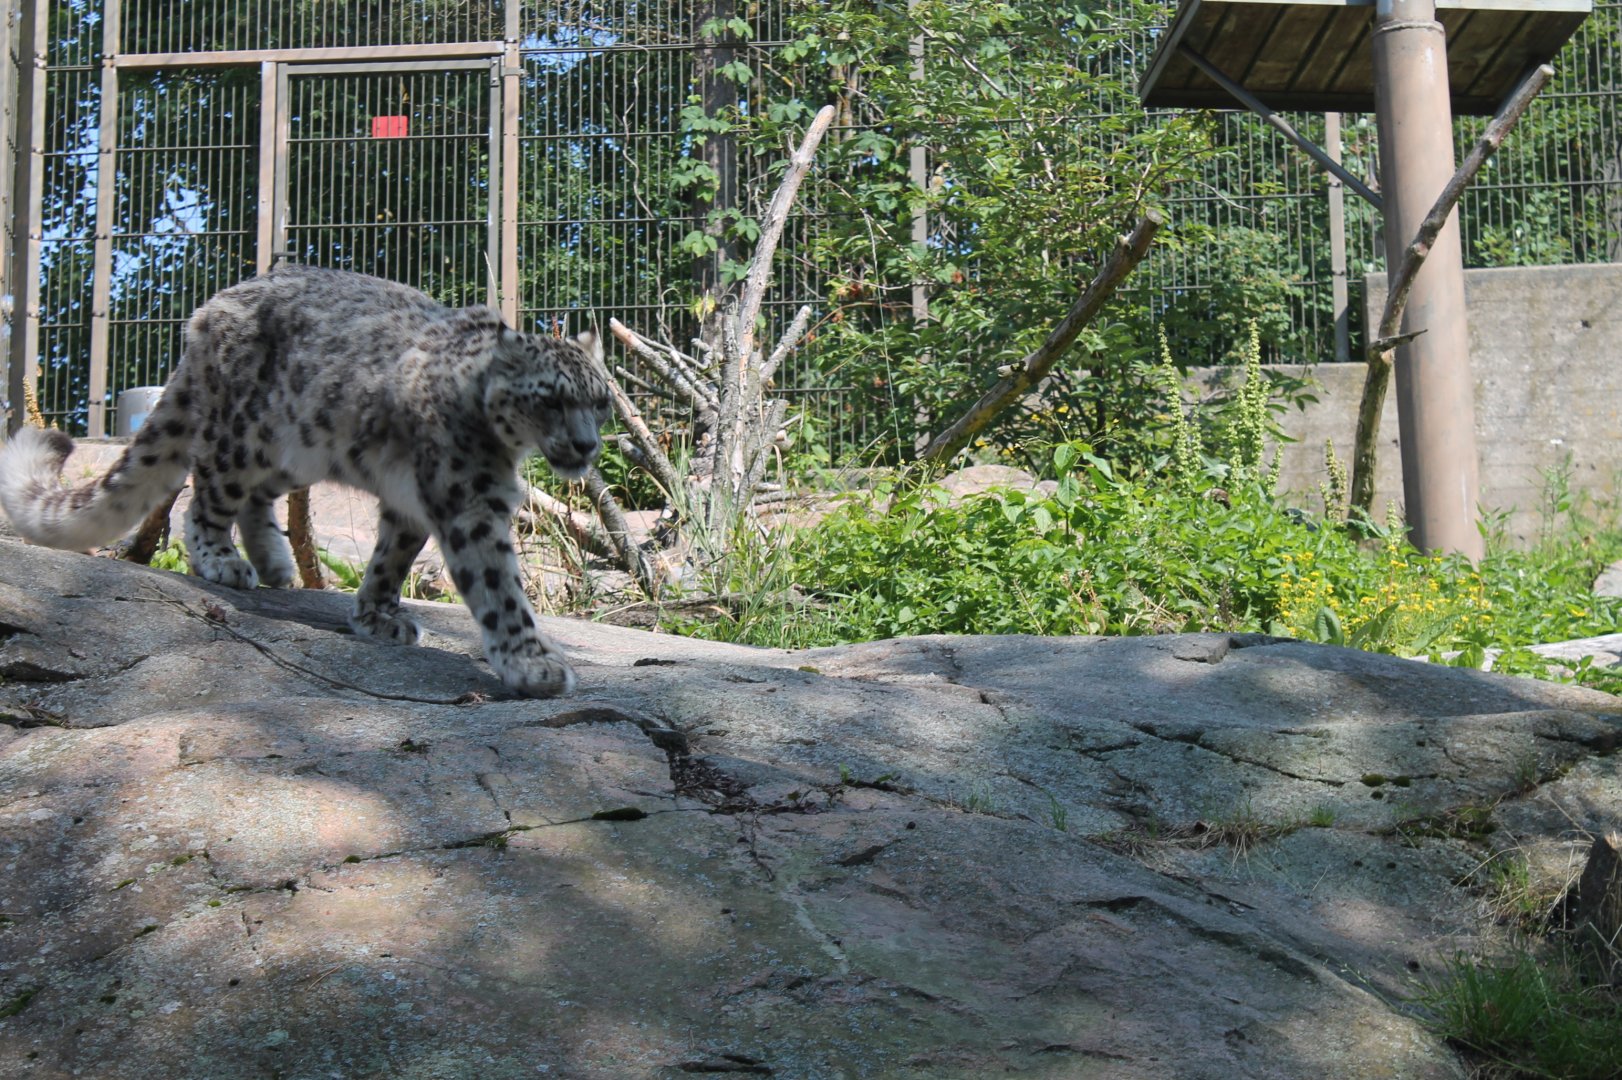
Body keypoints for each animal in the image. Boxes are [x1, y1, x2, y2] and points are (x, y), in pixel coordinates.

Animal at [0, 265, 612, 698]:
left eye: (601, 401)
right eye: (551, 399)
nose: (586, 446)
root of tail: (208, 310)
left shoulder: (411, 503)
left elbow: (391, 558)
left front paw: (376, 616)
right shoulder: (469, 502)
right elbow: (499, 586)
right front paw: (534, 664)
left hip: (297, 451)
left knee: (254, 498)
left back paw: (276, 564)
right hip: (244, 436)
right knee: (206, 491)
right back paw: (224, 562)